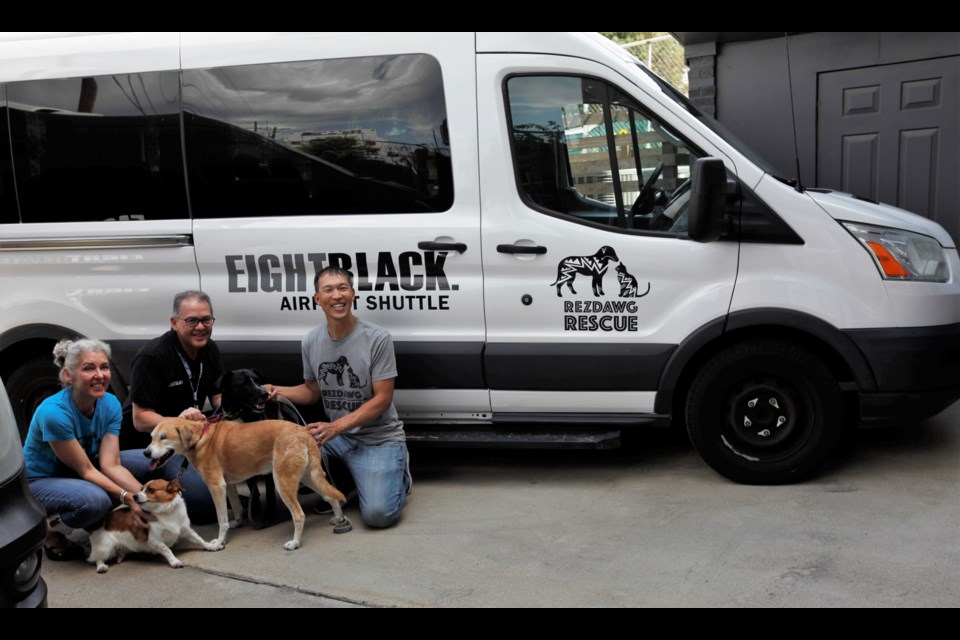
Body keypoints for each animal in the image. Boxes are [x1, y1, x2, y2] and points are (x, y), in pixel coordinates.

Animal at [87, 478, 220, 572]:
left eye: (150, 489)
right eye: (141, 489)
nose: (134, 496)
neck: (165, 512)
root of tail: (100, 522)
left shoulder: (186, 530)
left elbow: (199, 539)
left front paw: (210, 546)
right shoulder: (154, 540)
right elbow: (166, 549)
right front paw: (174, 561)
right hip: (106, 547)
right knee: (96, 559)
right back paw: (101, 566)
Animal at [144, 416, 350, 552]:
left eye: (163, 437)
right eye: (151, 437)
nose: (146, 453)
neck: (200, 437)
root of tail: (303, 431)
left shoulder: (216, 486)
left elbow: (221, 519)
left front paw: (220, 541)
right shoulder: (228, 485)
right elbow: (236, 506)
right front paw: (237, 522)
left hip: (283, 481)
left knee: (299, 515)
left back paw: (295, 543)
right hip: (309, 476)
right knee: (331, 496)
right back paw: (339, 518)